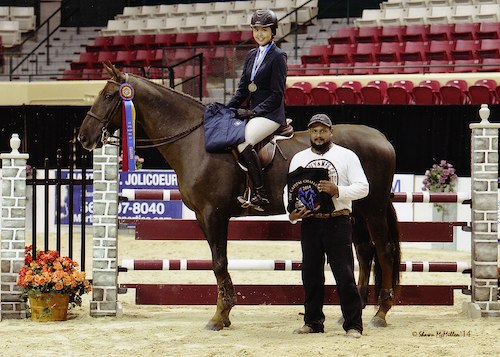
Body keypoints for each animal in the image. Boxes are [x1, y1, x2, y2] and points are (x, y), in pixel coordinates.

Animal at [79, 63, 402, 328]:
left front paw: (220, 315)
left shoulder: (213, 214)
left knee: (384, 250)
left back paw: (380, 313)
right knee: (366, 251)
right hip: (355, 209)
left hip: (372, 208)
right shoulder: (202, 216)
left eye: (108, 96)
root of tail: (383, 138)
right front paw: (224, 313)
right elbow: (217, 261)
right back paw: (359, 308)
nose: (84, 138)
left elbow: (219, 262)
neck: (197, 140)